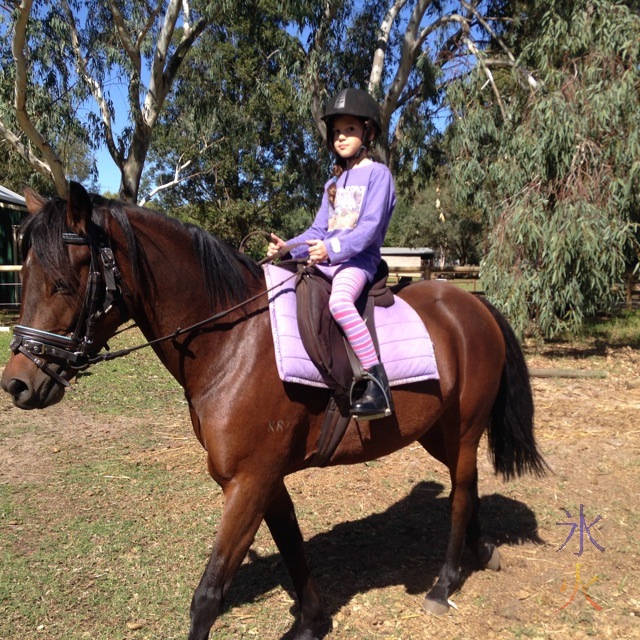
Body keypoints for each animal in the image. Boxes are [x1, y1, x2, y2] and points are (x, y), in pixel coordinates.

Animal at [1, 182, 544, 640]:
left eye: (63, 283)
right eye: (23, 276)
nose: (17, 383)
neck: (235, 342)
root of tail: (473, 305)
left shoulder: (248, 481)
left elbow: (208, 595)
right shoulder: (265, 478)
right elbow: (292, 546)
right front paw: (312, 622)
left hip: (465, 428)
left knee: (461, 494)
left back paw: (444, 584)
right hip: (439, 432)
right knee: (465, 485)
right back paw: (482, 551)